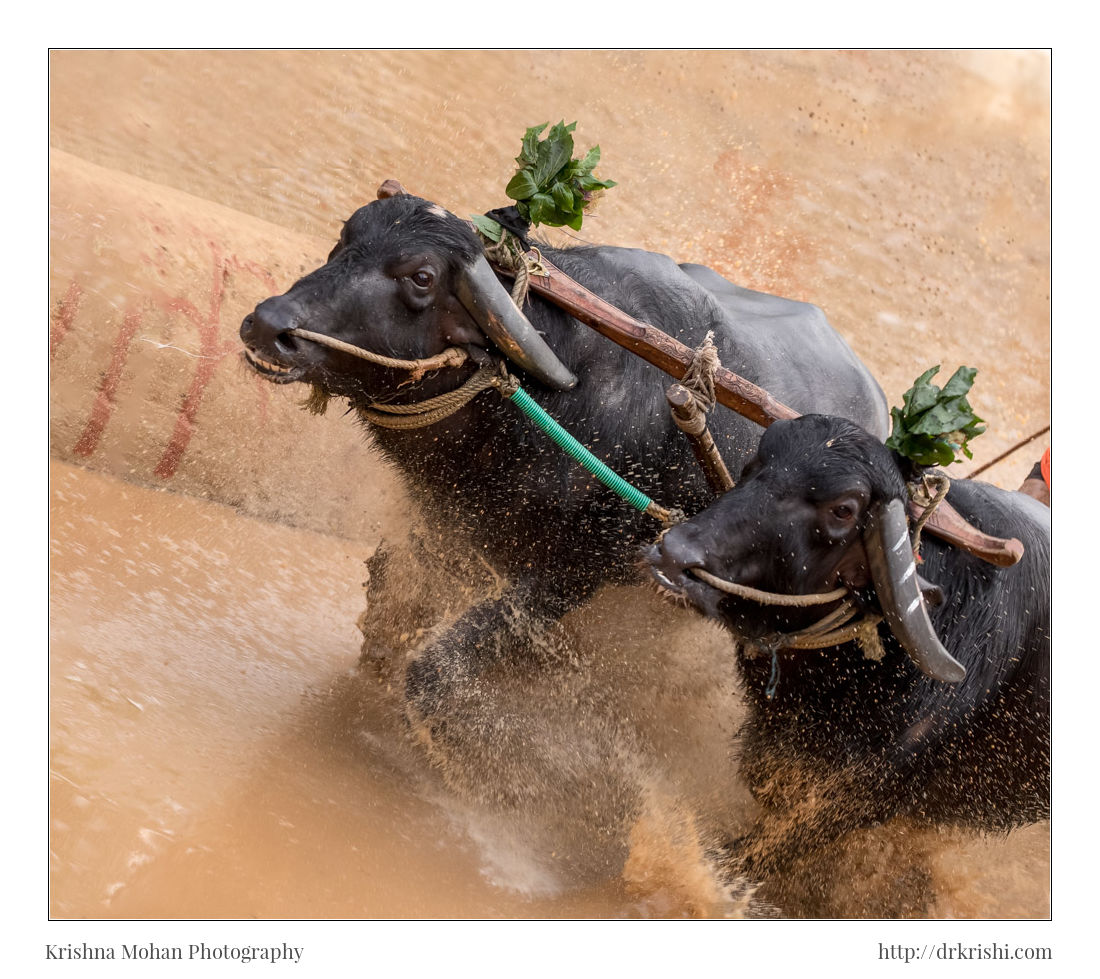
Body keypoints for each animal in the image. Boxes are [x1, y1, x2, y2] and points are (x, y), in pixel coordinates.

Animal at [238, 184, 884, 717]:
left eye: (420, 277)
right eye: (346, 236)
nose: (268, 324)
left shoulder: (573, 577)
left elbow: (434, 668)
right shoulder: (443, 528)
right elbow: (384, 618)